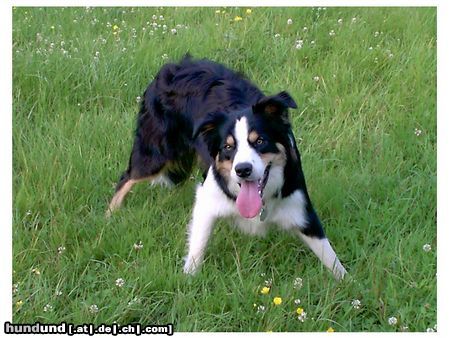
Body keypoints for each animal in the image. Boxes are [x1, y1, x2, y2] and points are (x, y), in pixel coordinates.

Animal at [107, 55, 346, 280]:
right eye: (228, 147)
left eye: (260, 141)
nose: (243, 169)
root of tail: (173, 66)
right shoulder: (206, 199)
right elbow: (197, 248)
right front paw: (189, 280)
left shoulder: (301, 207)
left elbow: (332, 259)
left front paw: (347, 284)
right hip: (155, 154)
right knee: (126, 177)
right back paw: (109, 217)